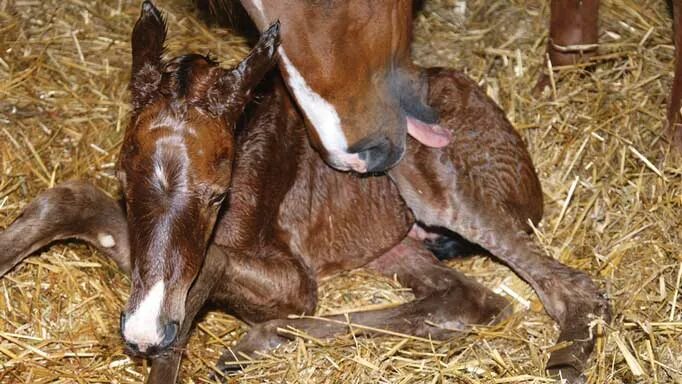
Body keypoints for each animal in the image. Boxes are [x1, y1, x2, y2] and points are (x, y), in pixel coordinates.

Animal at [0, 1, 604, 382]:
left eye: (219, 194)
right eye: (124, 179)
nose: (145, 333)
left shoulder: (284, 274)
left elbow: (213, 263)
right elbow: (71, 199)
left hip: (434, 180)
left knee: (571, 287)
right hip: (394, 246)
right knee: (468, 297)